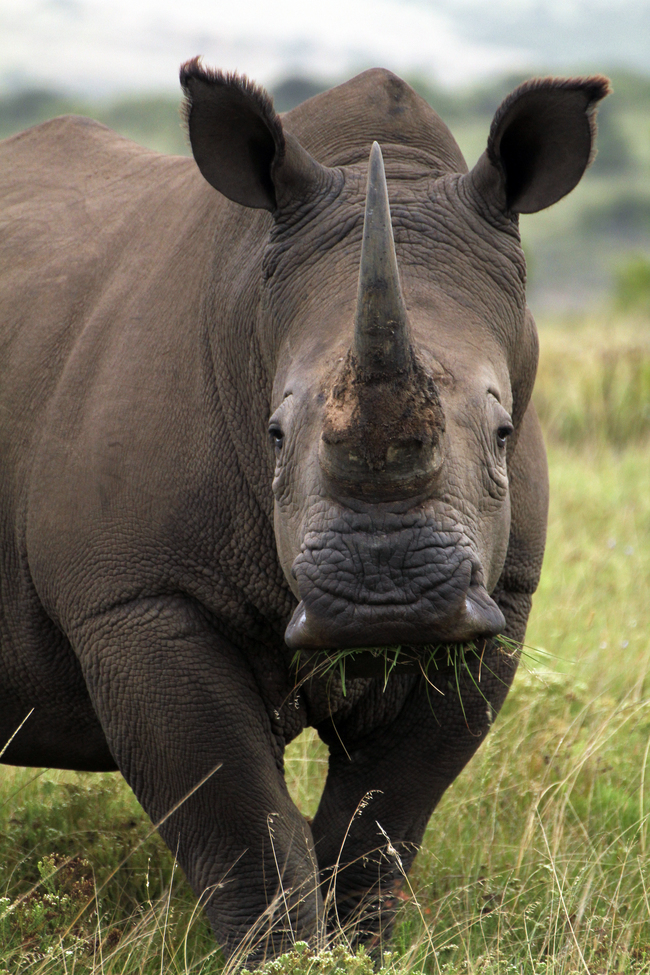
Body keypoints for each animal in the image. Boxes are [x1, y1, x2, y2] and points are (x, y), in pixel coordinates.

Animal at [0, 62, 608, 959]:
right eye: (275, 434)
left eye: (503, 433)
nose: (386, 598)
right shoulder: (137, 595)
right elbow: (242, 820)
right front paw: (284, 955)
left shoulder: (505, 595)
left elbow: (383, 815)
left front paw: (356, 951)